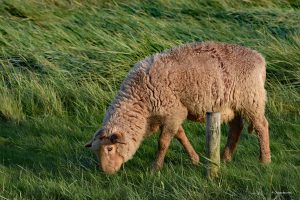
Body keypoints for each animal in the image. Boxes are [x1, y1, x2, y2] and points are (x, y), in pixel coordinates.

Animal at [85, 41, 272, 173]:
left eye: (110, 148)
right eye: (96, 151)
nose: (106, 173)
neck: (140, 100)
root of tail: (260, 59)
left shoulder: (174, 112)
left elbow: (163, 142)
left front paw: (155, 168)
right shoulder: (172, 114)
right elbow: (180, 135)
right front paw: (195, 159)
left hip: (251, 100)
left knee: (261, 126)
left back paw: (264, 160)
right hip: (234, 104)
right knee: (236, 127)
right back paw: (226, 157)